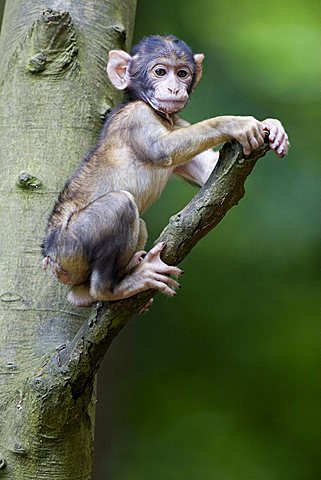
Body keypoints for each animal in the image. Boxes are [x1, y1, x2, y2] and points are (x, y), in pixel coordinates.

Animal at [41, 36, 288, 308]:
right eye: (160, 72)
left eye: (182, 73)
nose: (174, 88)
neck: (157, 113)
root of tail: (52, 258)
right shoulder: (136, 118)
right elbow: (163, 149)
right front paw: (235, 123)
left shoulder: (178, 123)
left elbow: (208, 170)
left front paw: (272, 126)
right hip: (71, 247)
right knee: (121, 204)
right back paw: (110, 288)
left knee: (138, 225)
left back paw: (87, 292)